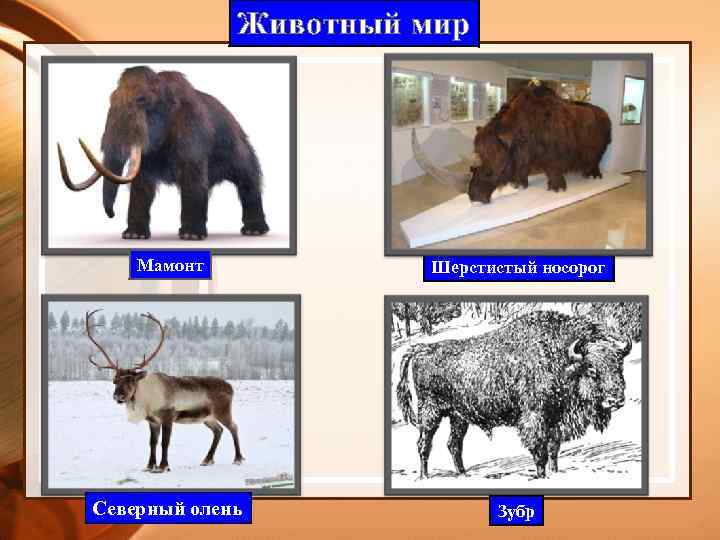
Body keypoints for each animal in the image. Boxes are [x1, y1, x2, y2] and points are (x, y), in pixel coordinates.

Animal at [85, 309, 244, 473]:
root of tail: (230, 387)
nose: (118, 396)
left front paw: (163, 466)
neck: (146, 399)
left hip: (222, 412)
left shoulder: (168, 417)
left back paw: (238, 459)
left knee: (234, 427)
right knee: (218, 430)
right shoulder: (153, 421)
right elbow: (152, 442)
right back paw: (207, 460)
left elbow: (165, 442)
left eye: (131, 380)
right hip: (207, 417)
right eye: (115, 381)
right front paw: (149, 466)